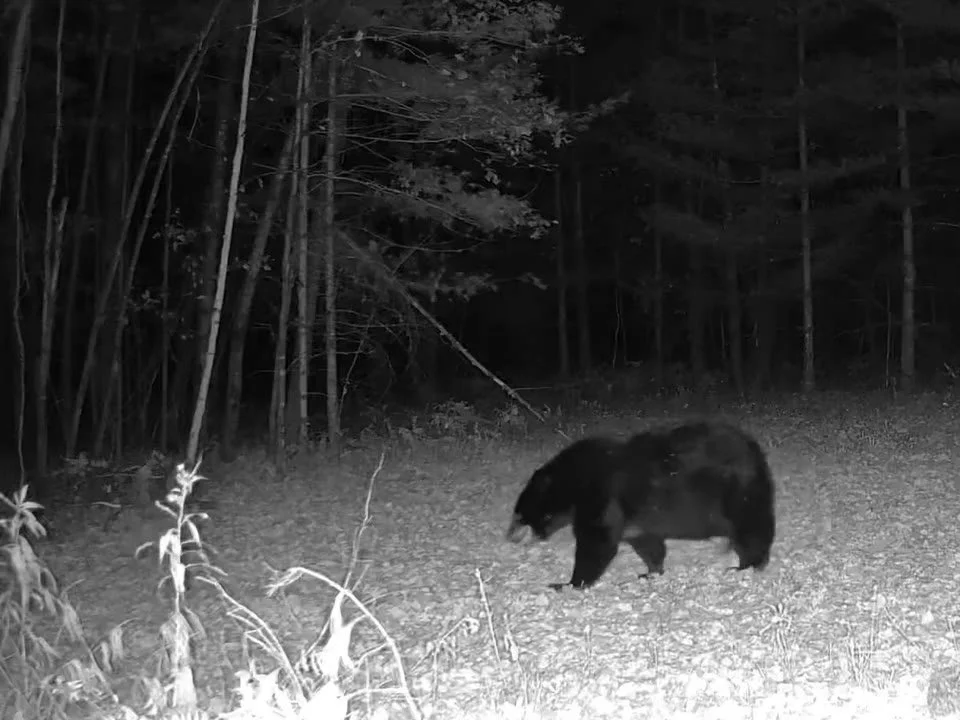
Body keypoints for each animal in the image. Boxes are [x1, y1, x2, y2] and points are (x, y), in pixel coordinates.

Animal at [506, 421, 776, 590]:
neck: (573, 481)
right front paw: (651, 571)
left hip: (738, 493)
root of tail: (756, 453)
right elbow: (647, 542)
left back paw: (746, 565)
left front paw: (567, 583)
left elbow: (597, 541)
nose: (508, 536)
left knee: (751, 530)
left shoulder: (602, 495)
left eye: (517, 515)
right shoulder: (637, 520)